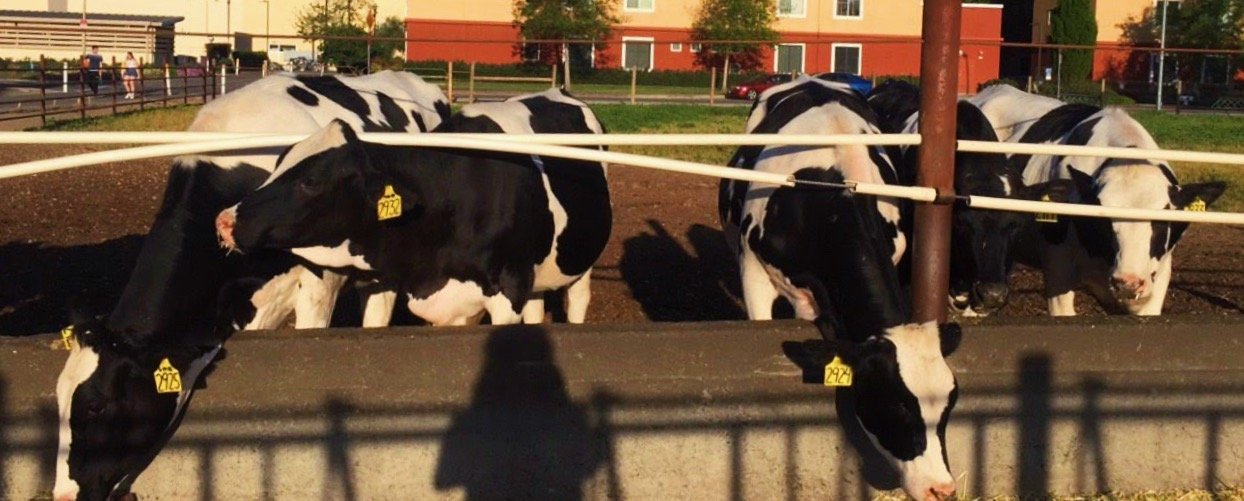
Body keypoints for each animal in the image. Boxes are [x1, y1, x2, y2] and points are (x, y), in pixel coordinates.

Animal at [214, 88, 611, 327]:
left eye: (310, 181)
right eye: (280, 160)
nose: (224, 220)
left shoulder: (507, 290)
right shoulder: (395, 286)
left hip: (578, 261)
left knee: (578, 301)